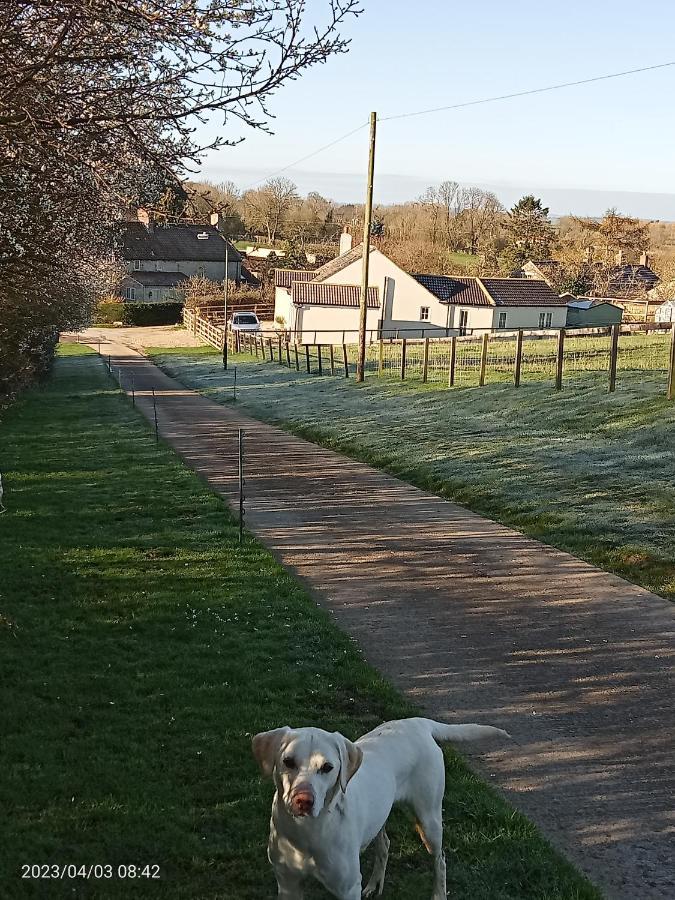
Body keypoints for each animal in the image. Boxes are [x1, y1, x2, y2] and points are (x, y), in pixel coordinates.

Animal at [252, 712, 508, 896]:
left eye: (327, 767)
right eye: (288, 761)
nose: (303, 800)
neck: (308, 832)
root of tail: (417, 722)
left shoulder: (347, 889)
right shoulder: (287, 884)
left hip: (429, 821)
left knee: (440, 861)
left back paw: (438, 894)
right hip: (380, 817)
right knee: (384, 845)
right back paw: (374, 885)